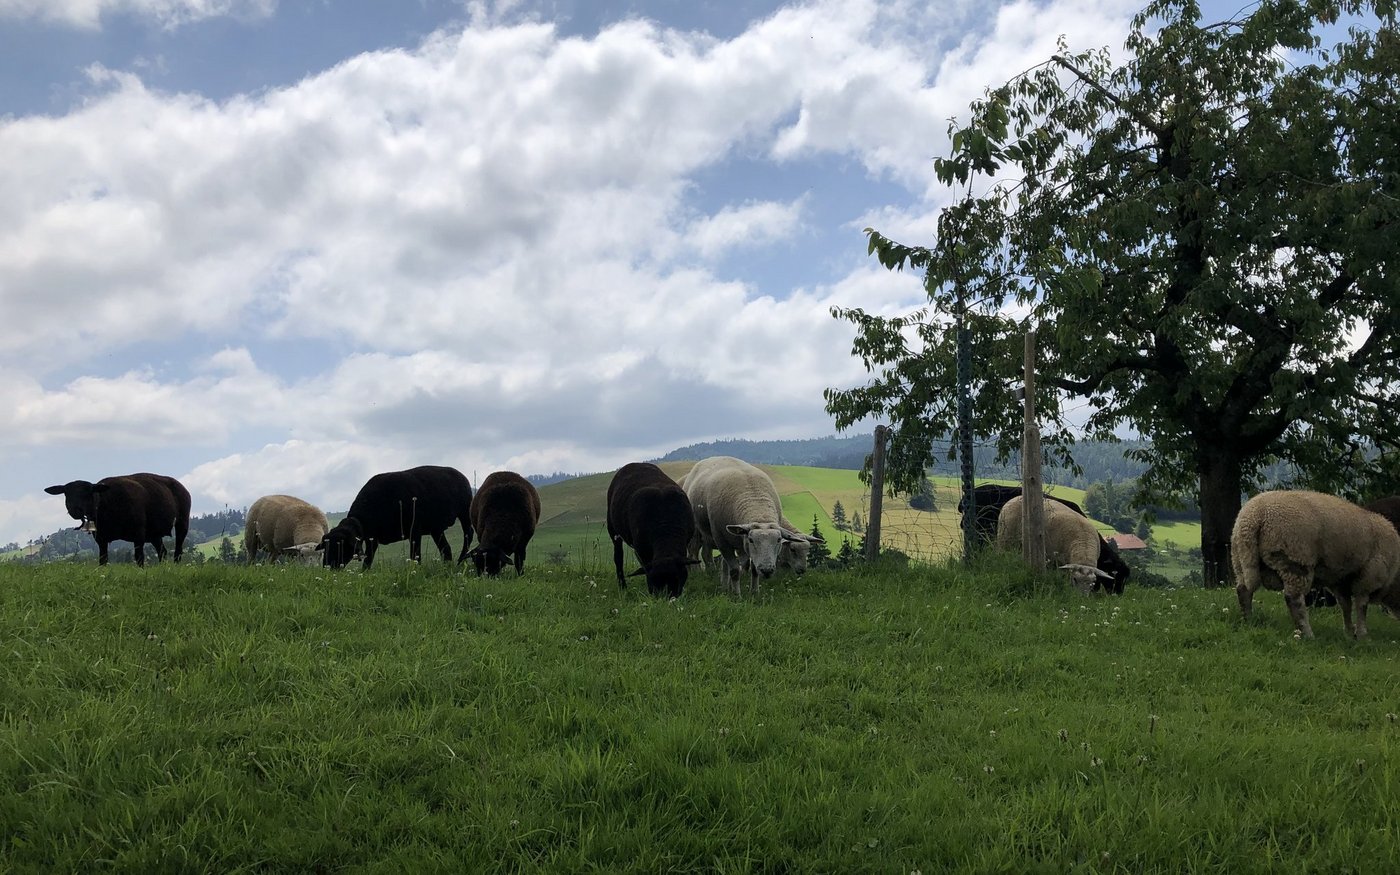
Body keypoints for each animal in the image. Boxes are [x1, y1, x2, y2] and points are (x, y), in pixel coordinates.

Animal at [44, 473, 191, 566]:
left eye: (88, 493)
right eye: (66, 493)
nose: (75, 510)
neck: (104, 504)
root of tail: (182, 487)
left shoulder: (139, 532)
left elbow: (139, 557)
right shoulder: (101, 538)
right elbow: (103, 560)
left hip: (182, 522)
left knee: (178, 549)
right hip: (154, 533)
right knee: (162, 552)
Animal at [321, 465, 473, 570]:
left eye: (340, 545)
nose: (327, 567)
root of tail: (462, 476)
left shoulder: (414, 530)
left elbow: (415, 555)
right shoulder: (372, 538)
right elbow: (368, 559)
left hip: (465, 512)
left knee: (468, 534)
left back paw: (461, 560)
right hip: (436, 528)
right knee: (446, 549)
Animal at [680, 456, 807, 597]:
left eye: (778, 540)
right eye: (751, 540)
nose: (767, 571)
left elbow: (752, 569)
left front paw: (754, 592)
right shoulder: (722, 541)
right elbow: (735, 570)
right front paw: (737, 596)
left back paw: (724, 585)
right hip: (697, 533)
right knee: (695, 554)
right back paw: (700, 573)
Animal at [1232, 490, 1400, 639]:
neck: (1394, 576)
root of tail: (1254, 516)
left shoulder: (1340, 581)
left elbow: (1345, 605)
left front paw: (1349, 633)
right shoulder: (1368, 576)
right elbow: (1361, 606)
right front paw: (1362, 635)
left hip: (1240, 559)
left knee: (1243, 591)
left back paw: (1249, 621)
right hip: (1295, 558)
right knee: (1294, 600)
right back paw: (1307, 634)